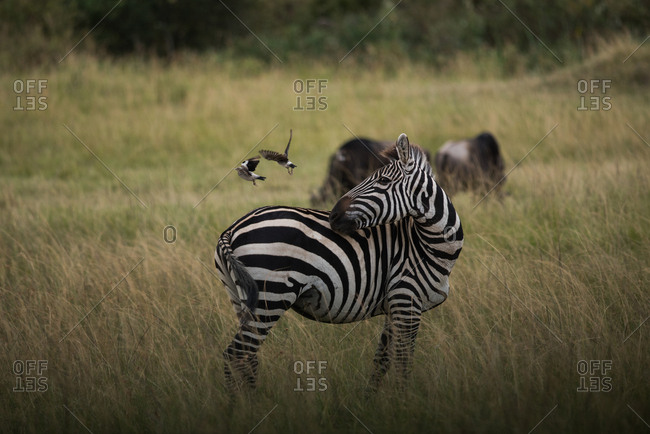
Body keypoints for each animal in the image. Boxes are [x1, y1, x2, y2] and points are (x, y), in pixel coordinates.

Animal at [214, 133, 463, 392]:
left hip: (241, 297)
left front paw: (373, 399)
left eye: (383, 180)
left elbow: (381, 361)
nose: (333, 216)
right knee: (236, 355)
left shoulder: (395, 307)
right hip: (270, 298)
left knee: (247, 358)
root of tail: (230, 231)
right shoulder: (407, 301)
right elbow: (403, 364)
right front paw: (404, 400)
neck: (426, 245)